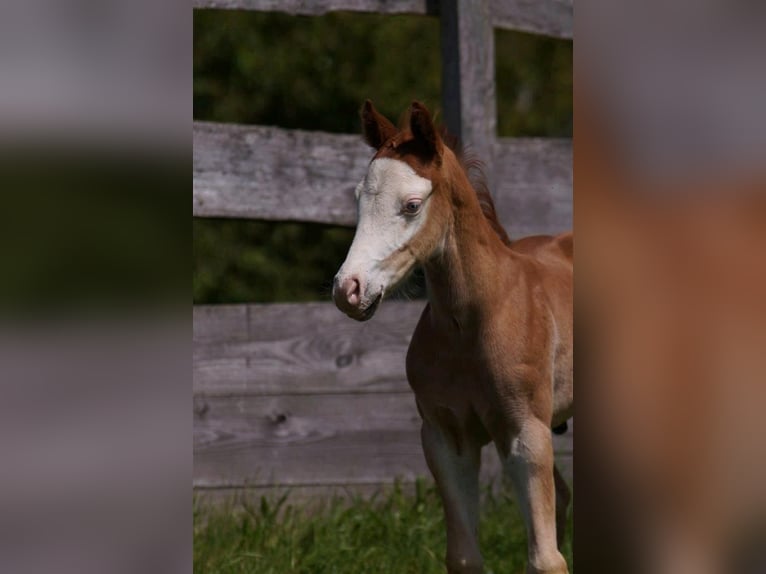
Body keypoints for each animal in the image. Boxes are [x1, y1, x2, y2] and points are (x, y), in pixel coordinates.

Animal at [332, 100, 572, 574]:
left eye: (411, 205)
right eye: (358, 197)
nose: (348, 290)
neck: (476, 322)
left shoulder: (526, 434)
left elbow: (545, 560)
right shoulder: (446, 439)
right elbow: (463, 557)